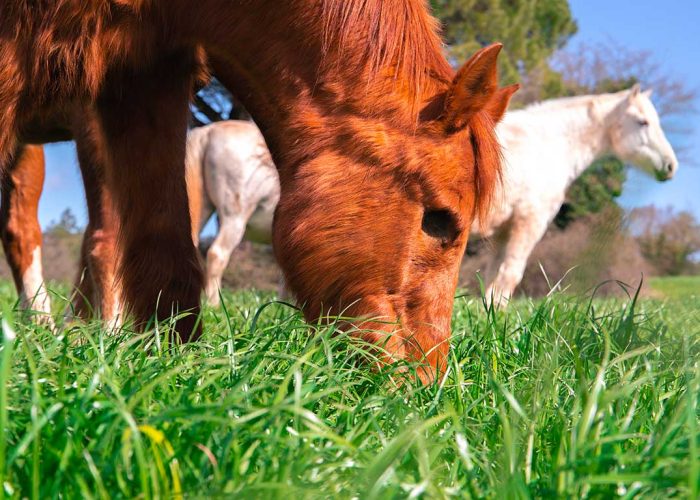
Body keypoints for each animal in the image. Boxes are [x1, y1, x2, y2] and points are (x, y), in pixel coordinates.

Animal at [476, 85, 680, 304]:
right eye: (643, 122)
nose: (670, 165)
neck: (546, 143)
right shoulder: (530, 221)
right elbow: (510, 274)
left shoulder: (503, 231)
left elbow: (493, 277)